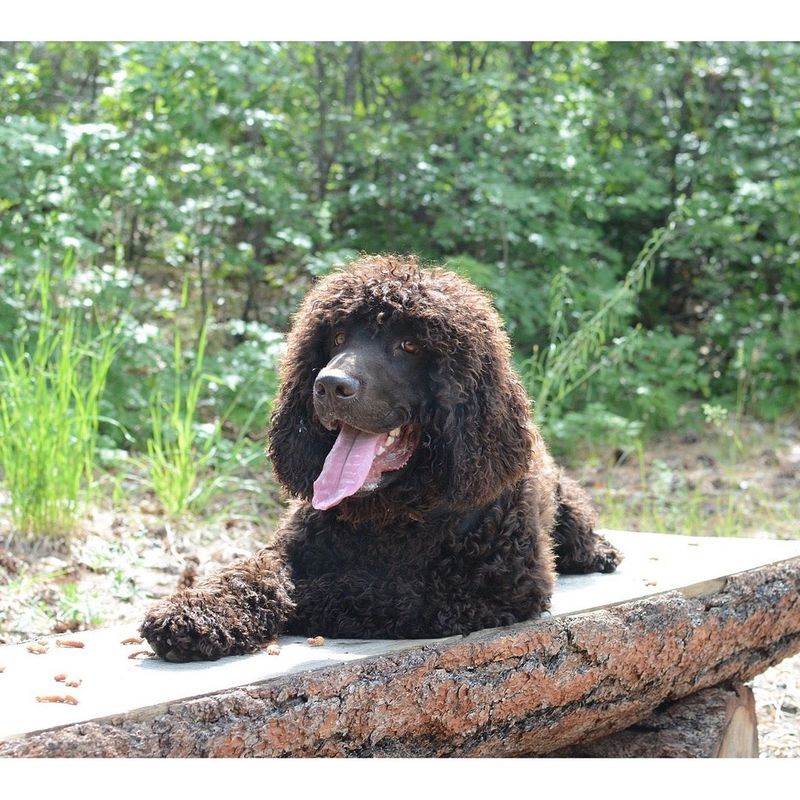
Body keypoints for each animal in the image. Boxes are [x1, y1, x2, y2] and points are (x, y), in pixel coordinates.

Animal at [141, 256, 620, 664]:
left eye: (409, 345)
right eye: (336, 338)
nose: (329, 384)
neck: (391, 515)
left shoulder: (480, 592)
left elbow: (345, 590)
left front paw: (292, 599)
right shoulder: (289, 549)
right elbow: (249, 573)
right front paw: (199, 609)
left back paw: (598, 550)